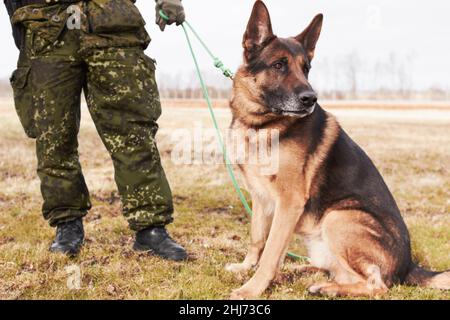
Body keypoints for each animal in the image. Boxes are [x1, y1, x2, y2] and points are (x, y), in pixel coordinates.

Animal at [227, 1, 448, 298]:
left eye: (306, 68)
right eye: (279, 65)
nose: (310, 98)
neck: (261, 124)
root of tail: (409, 267)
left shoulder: (289, 202)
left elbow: (271, 252)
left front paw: (252, 288)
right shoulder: (261, 198)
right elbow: (258, 238)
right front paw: (246, 267)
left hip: (338, 217)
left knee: (378, 285)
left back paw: (326, 287)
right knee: (336, 269)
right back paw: (304, 273)